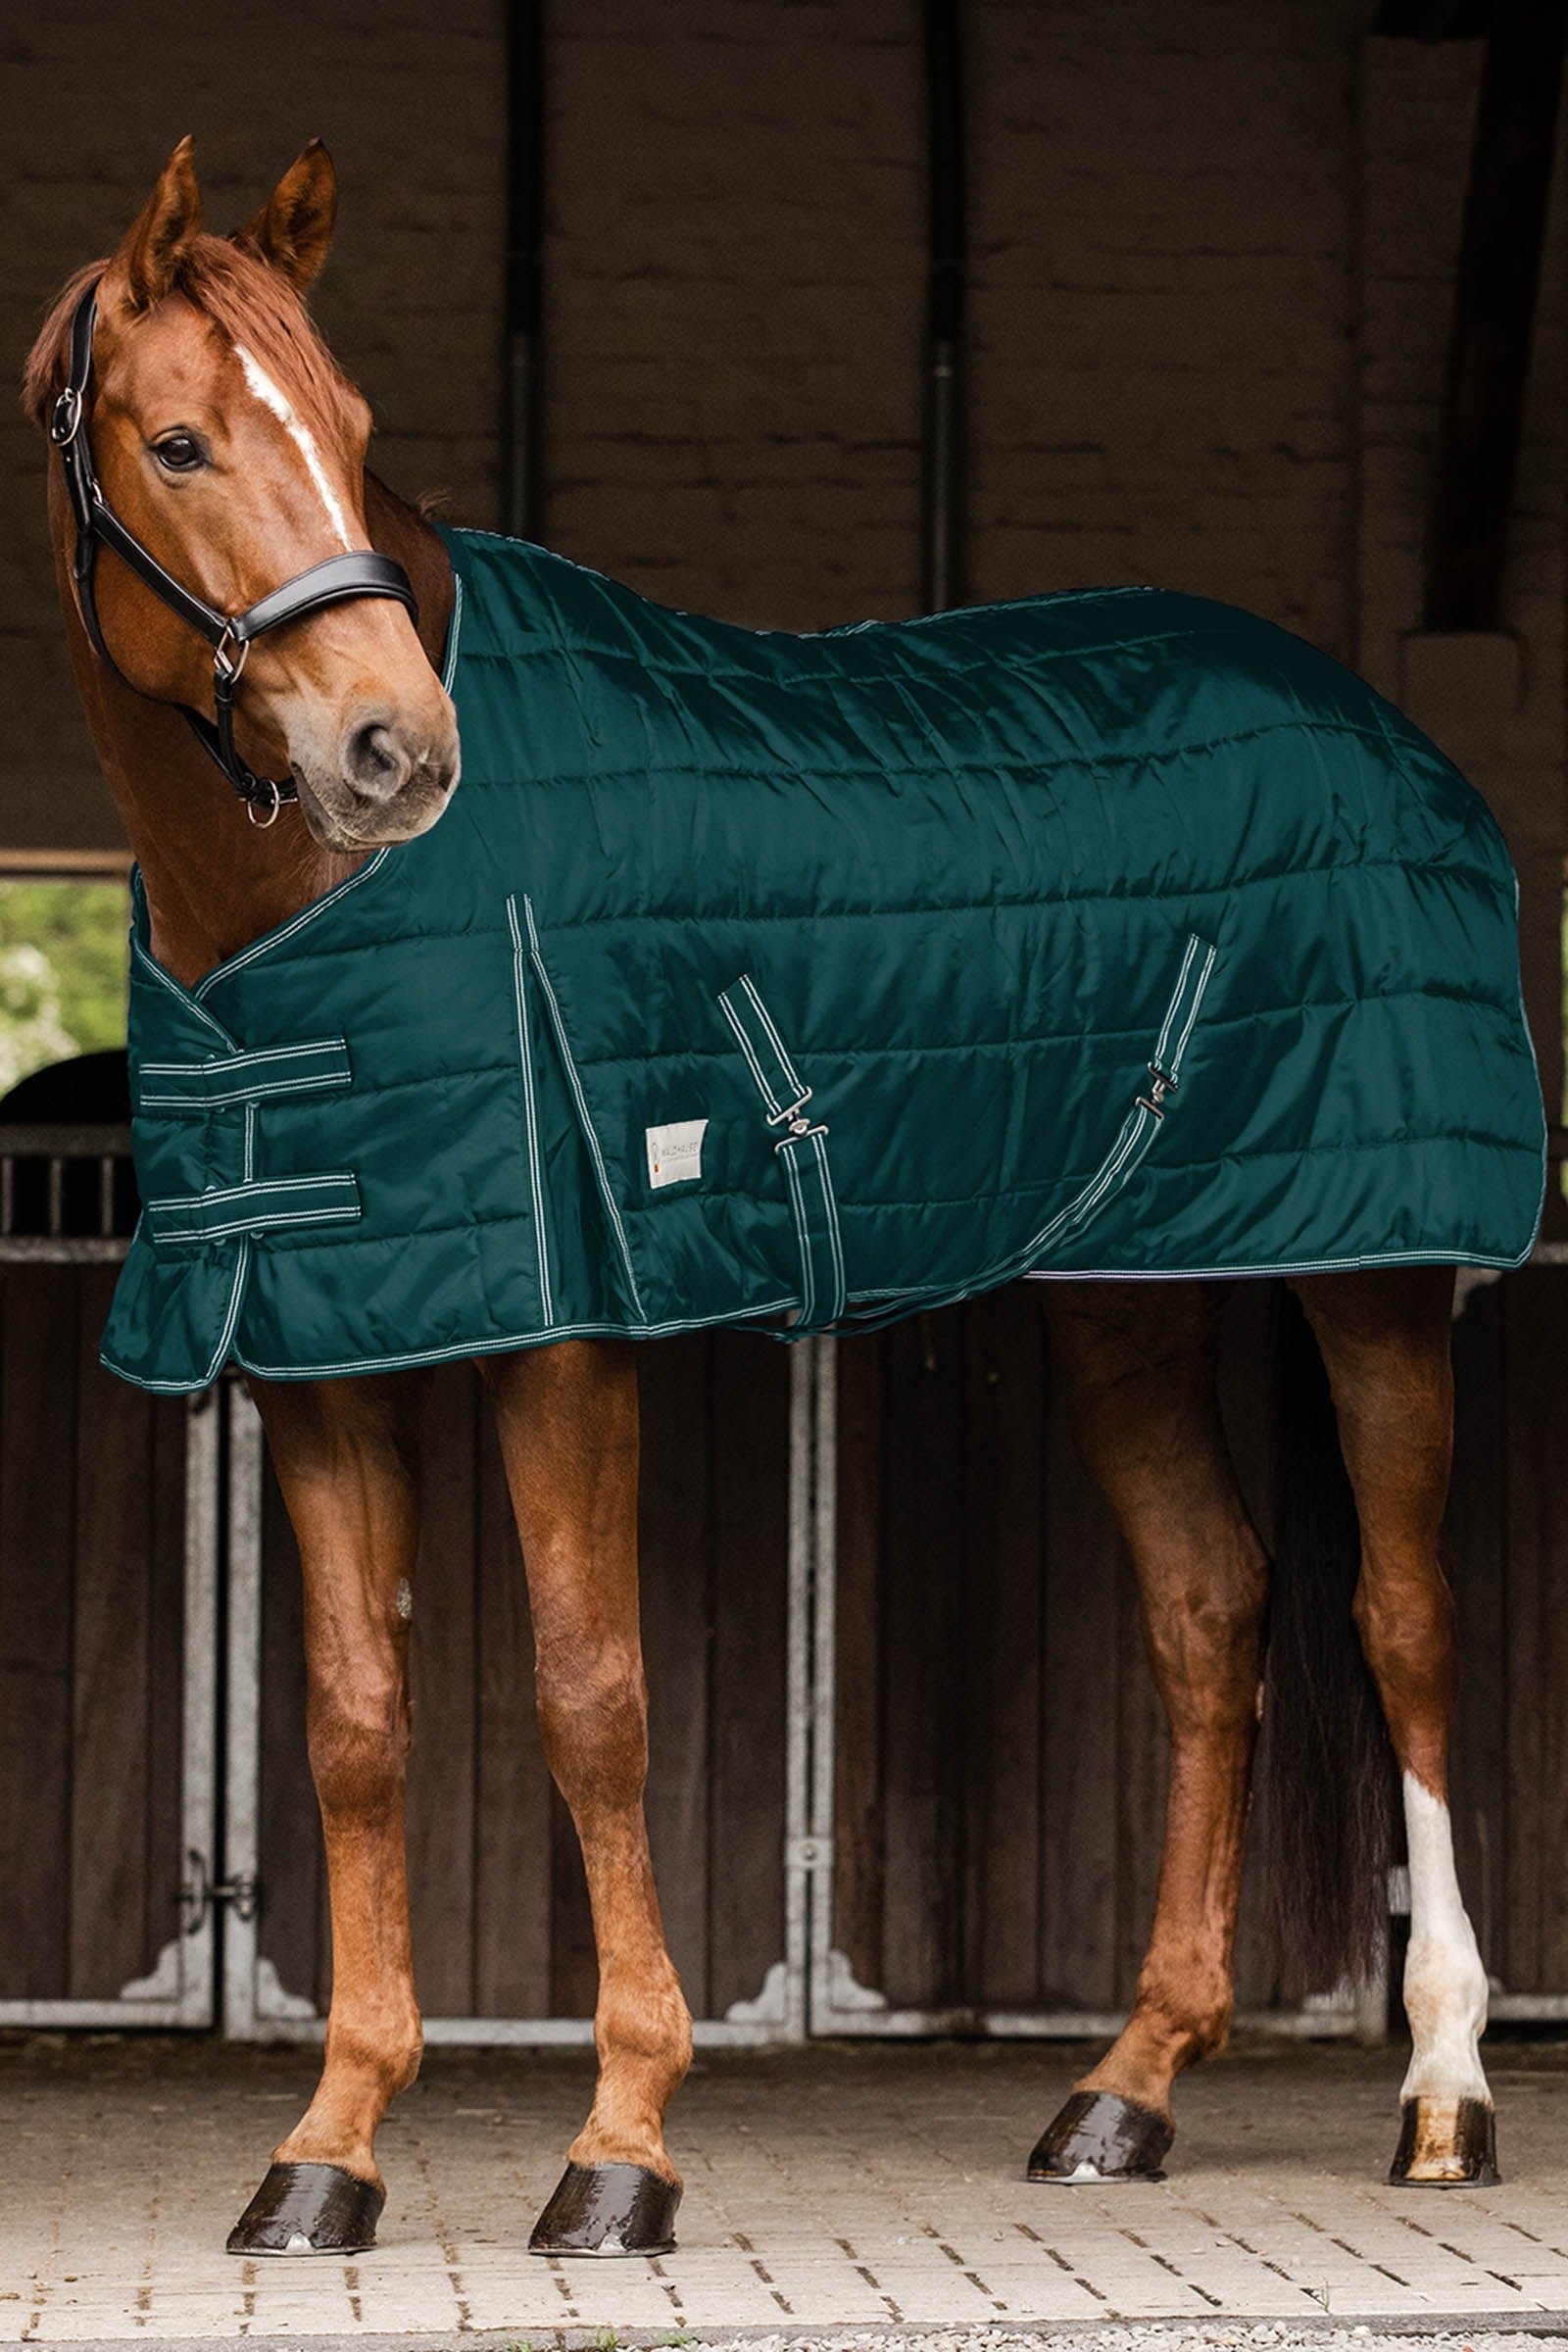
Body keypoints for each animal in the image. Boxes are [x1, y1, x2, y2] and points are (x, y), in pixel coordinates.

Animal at [25, 137, 1527, 2258]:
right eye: (176, 442)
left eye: (354, 427)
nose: (398, 751)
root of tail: (1387, 733)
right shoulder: (326, 1335)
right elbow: (351, 1725)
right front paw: (326, 2152)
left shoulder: (564, 1328)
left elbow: (592, 1700)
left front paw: (622, 2148)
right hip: (1124, 1287)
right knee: (1207, 1611)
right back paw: (1124, 2089)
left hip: (1374, 1267)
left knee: (1401, 1621)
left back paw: (1443, 2086)